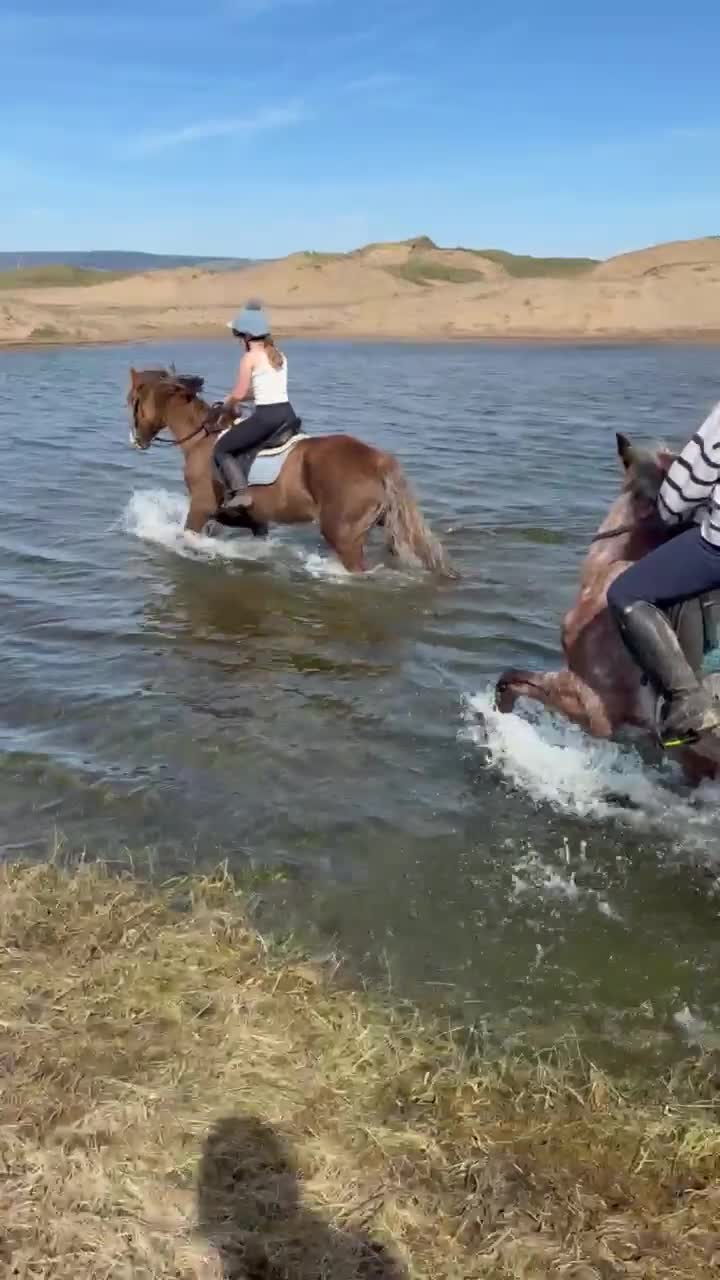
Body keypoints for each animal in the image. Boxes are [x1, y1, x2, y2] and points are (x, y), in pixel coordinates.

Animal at [127, 368, 453, 577]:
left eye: (133, 401)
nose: (136, 440)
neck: (202, 439)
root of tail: (377, 460)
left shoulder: (200, 507)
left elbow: (186, 536)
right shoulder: (253, 519)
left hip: (344, 536)